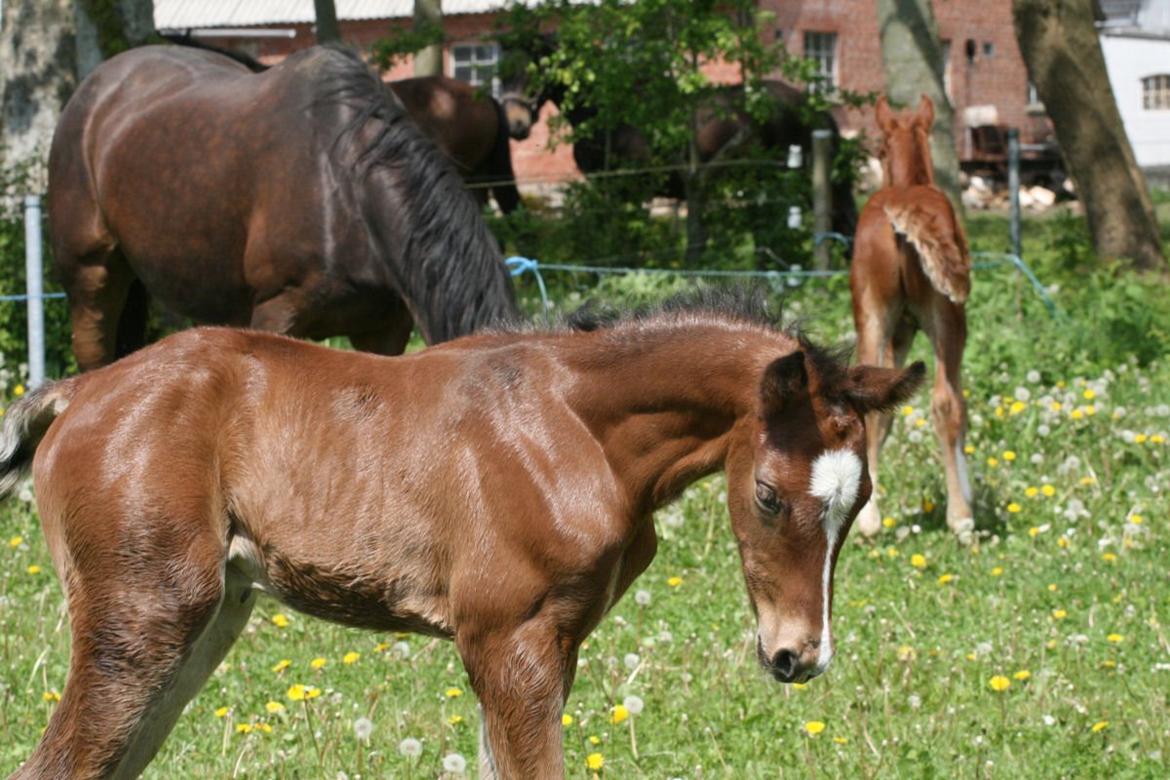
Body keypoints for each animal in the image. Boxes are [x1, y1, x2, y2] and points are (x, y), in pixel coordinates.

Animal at [0, 294, 921, 780]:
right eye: (767, 495)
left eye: (861, 500)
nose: (798, 656)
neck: (575, 430)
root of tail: (80, 392)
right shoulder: (509, 642)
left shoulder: (547, 648)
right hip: (143, 620)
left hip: (206, 620)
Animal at [851, 94, 978, 540]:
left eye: (880, 151)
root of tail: (900, 207)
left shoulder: (899, 334)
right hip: (947, 317)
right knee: (946, 402)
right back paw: (961, 517)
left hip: (872, 316)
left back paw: (869, 520)